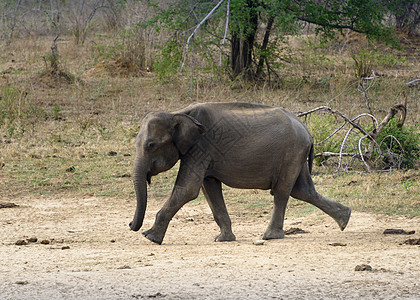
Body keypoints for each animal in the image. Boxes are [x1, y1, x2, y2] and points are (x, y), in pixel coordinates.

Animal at [129, 102, 352, 245]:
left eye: (151, 145)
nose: (131, 225)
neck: (176, 113)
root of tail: (306, 129)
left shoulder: (201, 147)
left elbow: (188, 190)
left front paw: (150, 237)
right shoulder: (204, 152)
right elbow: (209, 188)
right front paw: (222, 239)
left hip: (292, 152)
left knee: (282, 192)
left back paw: (269, 236)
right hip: (296, 154)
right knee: (303, 190)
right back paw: (345, 219)